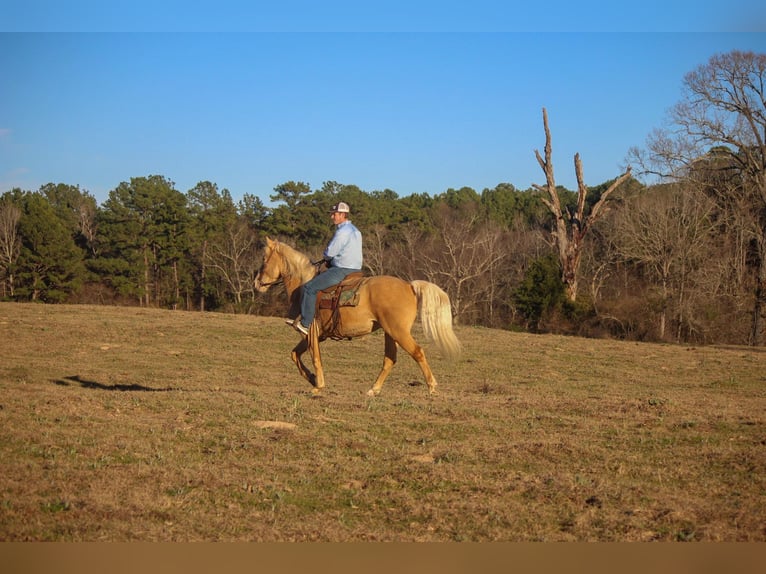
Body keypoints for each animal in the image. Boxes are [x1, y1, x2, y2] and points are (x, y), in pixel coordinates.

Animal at [256, 238, 462, 396]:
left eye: (264, 259)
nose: (257, 283)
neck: (303, 285)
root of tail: (408, 285)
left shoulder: (310, 332)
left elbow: (315, 357)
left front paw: (318, 385)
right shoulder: (315, 336)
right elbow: (294, 354)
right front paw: (313, 379)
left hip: (399, 332)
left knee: (417, 352)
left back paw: (432, 386)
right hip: (390, 332)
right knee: (390, 359)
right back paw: (374, 389)